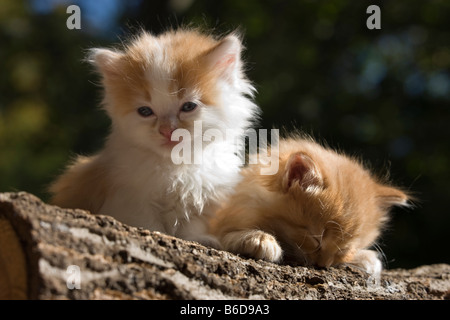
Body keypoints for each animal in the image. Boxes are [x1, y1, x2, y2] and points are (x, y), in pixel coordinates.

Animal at [48, 28, 260, 246]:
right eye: (145, 111)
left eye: (188, 106)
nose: (167, 130)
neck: (177, 166)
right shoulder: (130, 198)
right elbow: (147, 223)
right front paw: (155, 234)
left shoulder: (202, 199)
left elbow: (191, 224)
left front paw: (197, 239)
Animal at [209, 136, 410, 274]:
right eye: (316, 239)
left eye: (345, 249)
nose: (323, 265)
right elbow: (223, 235)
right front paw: (258, 238)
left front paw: (365, 258)